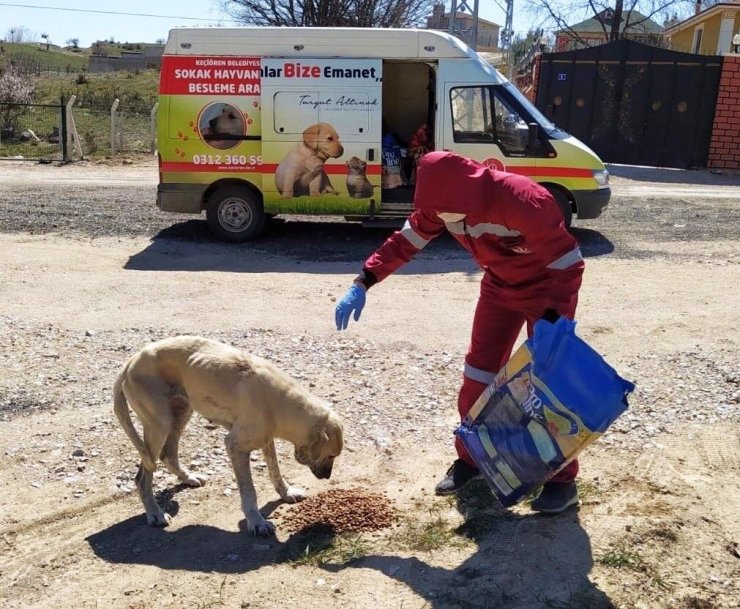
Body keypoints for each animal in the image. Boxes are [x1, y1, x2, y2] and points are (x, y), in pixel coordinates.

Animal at [112, 334, 344, 536]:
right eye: (331, 456)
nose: (327, 477)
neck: (281, 401)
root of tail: (129, 363)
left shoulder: (265, 439)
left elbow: (275, 471)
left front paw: (285, 493)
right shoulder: (235, 446)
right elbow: (249, 490)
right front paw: (256, 522)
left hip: (181, 412)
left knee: (168, 455)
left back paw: (189, 478)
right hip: (159, 425)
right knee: (142, 477)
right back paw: (155, 513)